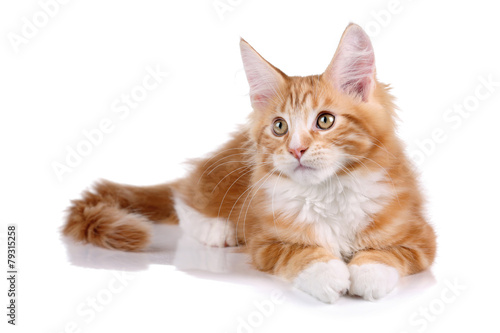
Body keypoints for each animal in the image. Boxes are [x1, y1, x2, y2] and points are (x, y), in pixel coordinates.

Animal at [64, 24, 436, 302]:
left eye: (325, 120)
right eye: (280, 126)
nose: (296, 150)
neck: (328, 192)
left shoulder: (421, 236)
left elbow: (388, 253)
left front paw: (368, 272)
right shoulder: (265, 241)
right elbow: (300, 253)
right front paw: (328, 273)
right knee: (182, 194)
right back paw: (218, 229)